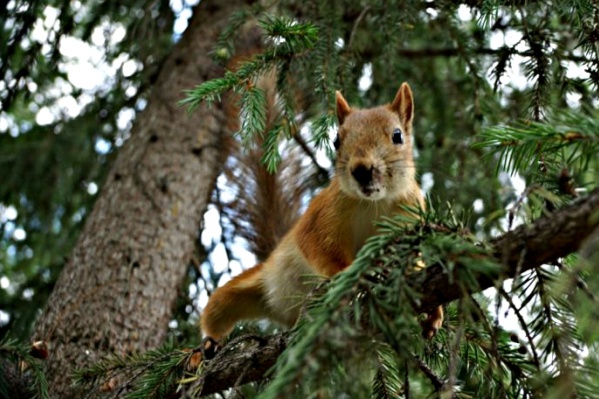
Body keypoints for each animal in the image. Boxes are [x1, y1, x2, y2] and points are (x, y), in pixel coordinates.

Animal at [202, 83, 446, 348]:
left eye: (397, 135)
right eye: (336, 140)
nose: (362, 170)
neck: (374, 203)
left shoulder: (410, 216)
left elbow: (414, 264)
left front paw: (434, 312)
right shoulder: (322, 215)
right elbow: (317, 246)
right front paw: (351, 274)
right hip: (242, 292)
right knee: (217, 311)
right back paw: (207, 346)